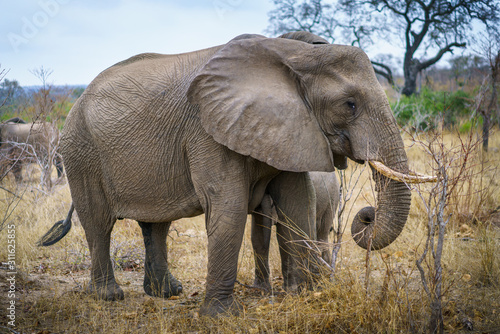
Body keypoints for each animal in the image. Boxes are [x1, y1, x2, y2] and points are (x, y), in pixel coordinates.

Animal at [38, 30, 434, 316]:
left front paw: (301, 296)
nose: (367, 214)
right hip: (81, 150)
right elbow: (227, 206)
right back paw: (109, 296)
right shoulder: (207, 129)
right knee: (99, 222)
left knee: (156, 224)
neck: (293, 54)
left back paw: (167, 293)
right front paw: (221, 316)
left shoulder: (291, 128)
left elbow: (297, 202)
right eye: (349, 104)